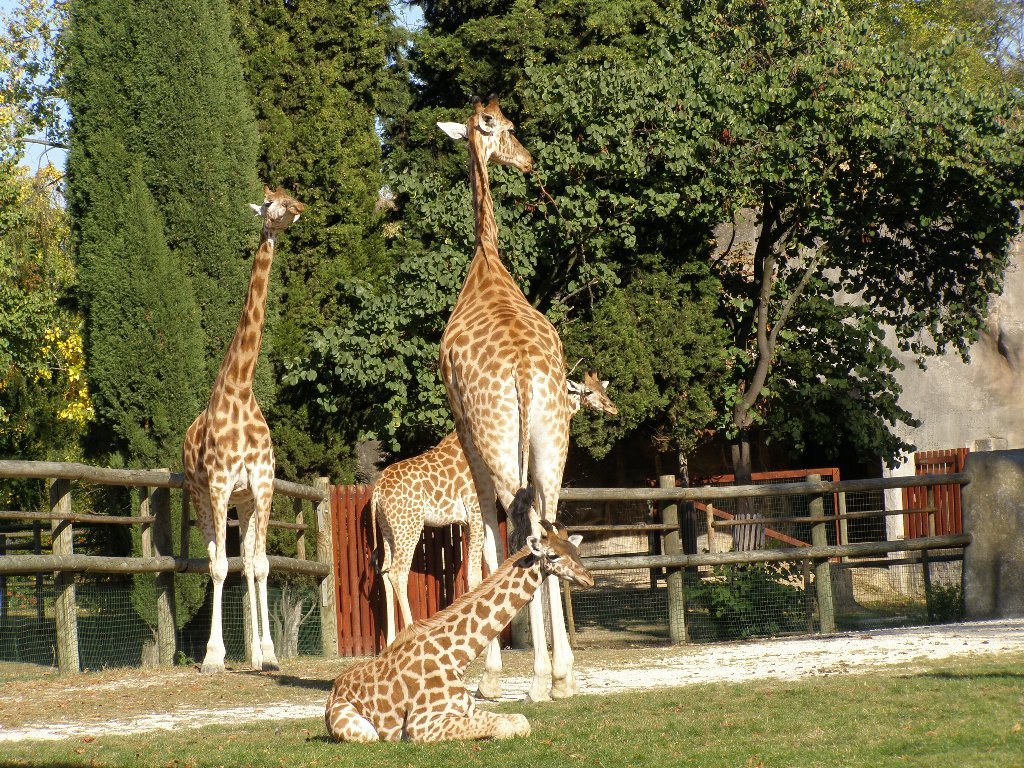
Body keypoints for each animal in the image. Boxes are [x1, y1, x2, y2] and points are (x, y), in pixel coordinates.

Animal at [181, 186, 303, 671]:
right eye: (269, 203)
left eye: (289, 194)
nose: (298, 208)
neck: (240, 388)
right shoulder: (216, 485)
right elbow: (219, 567)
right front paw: (214, 657)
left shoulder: (263, 485)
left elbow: (262, 564)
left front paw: (268, 655)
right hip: (201, 497)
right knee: (215, 558)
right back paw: (221, 652)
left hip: (245, 501)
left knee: (249, 562)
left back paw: (254, 652)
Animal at [323, 487, 598, 745]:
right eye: (553, 555)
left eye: (575, 551)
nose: (589, 579)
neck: (456, 659)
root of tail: (334, 689)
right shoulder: (421, 724)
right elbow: (505, 726)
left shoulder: (469, 709)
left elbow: (520, 721)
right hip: (363, 730)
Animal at [372, 372, 614, 651]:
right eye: (589, 392)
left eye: (603, 390)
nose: (612, 407)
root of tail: (376, 491)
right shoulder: (474, 511)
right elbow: (476, 572)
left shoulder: (466, 520)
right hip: (409, 525)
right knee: (399, 572)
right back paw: (410, 632)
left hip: (388, 530)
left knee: (384, 571)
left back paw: (391, 640)